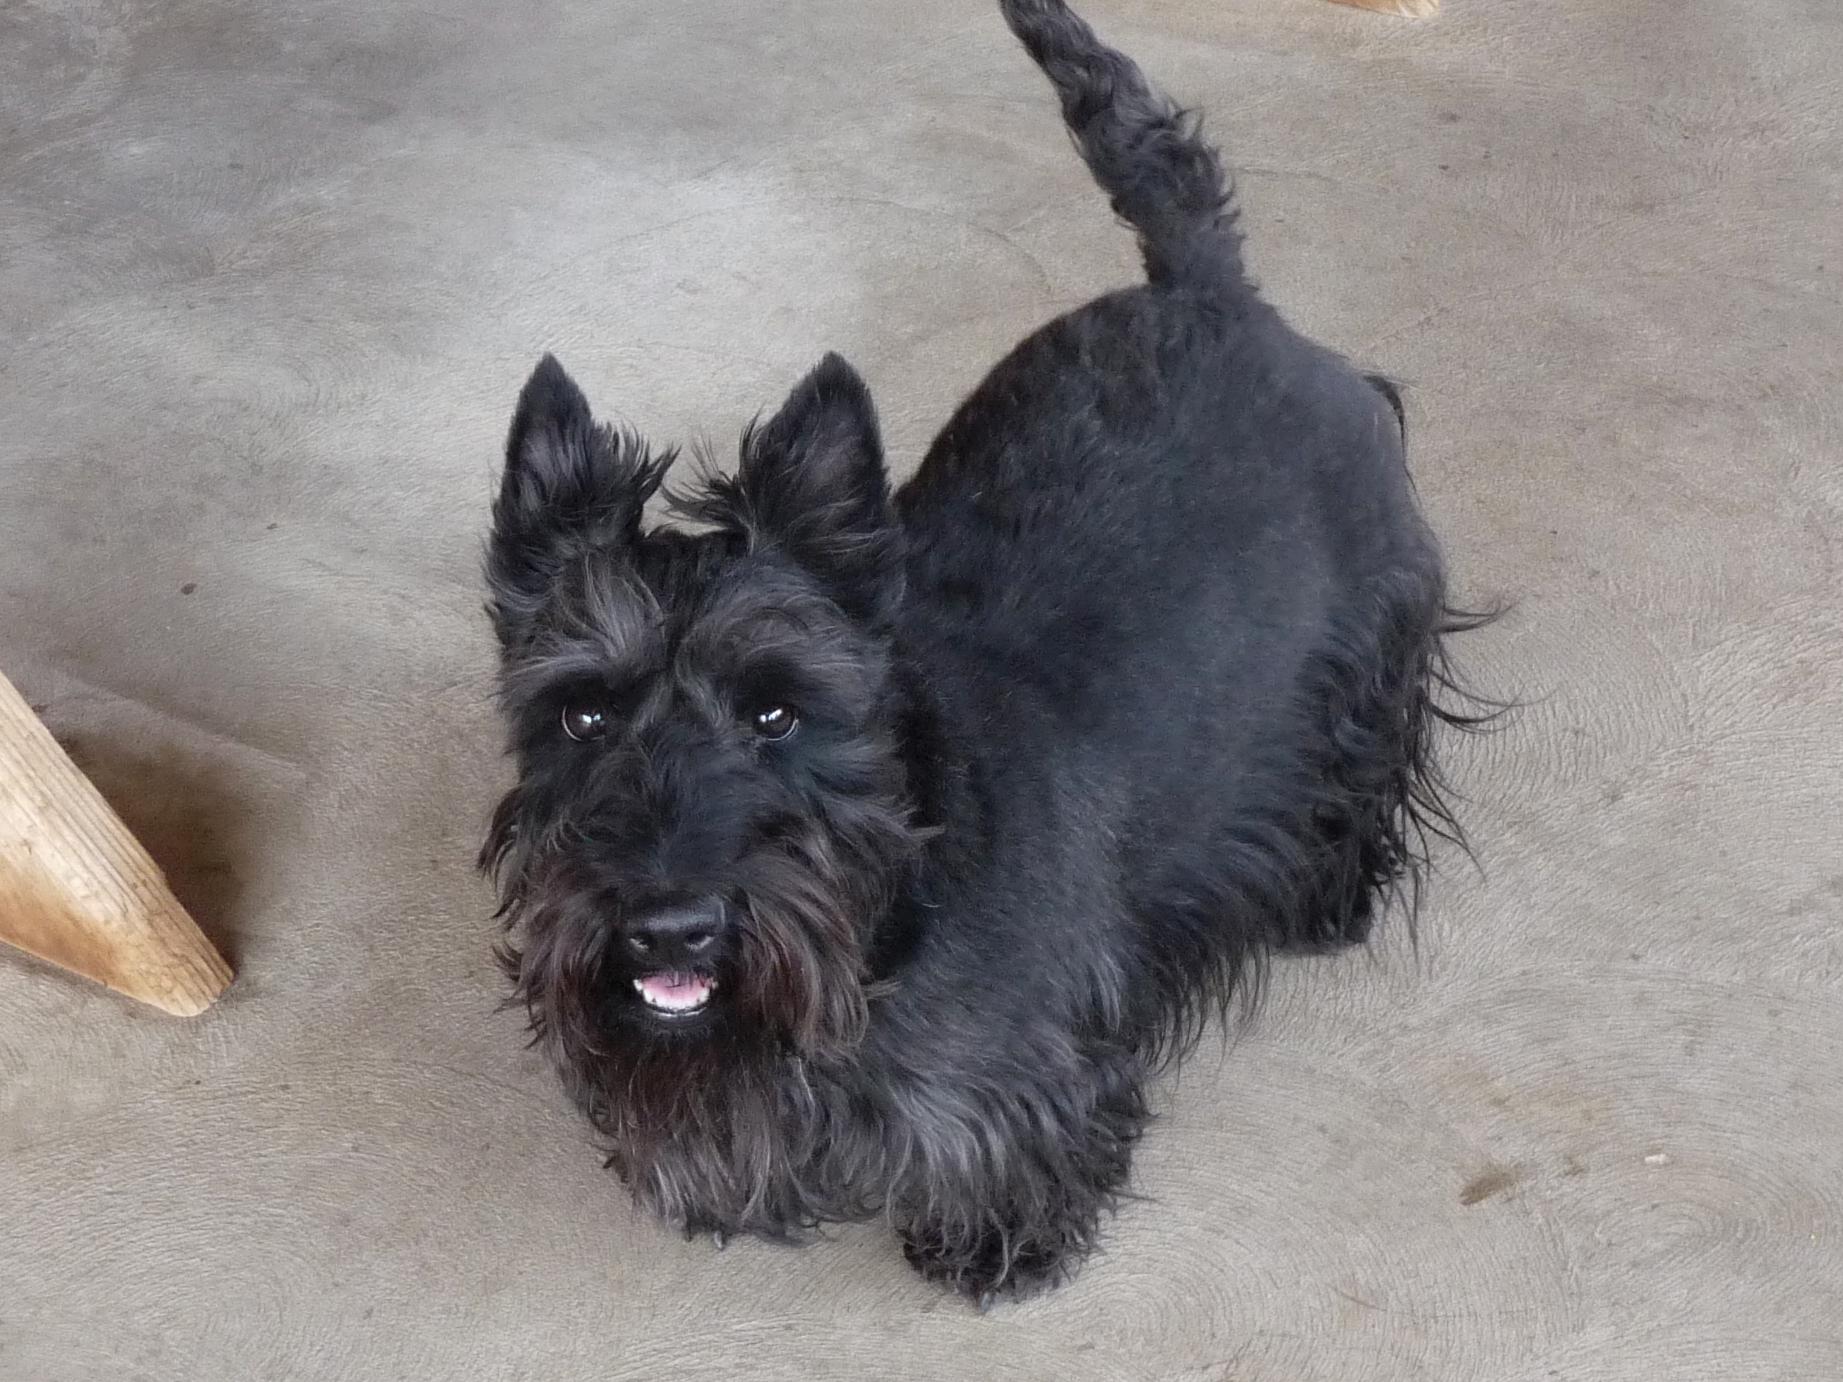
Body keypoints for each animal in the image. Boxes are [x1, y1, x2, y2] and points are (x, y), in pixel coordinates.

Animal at [479, 0, 1481, 1311]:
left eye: (776, 710)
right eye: (582, 712)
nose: (668, 928)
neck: (891, 884)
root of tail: (1210, 291)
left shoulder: (1010, 1072)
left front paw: (999, 1243)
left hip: (1369, 638)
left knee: (1366, 760)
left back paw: (1330, 893)